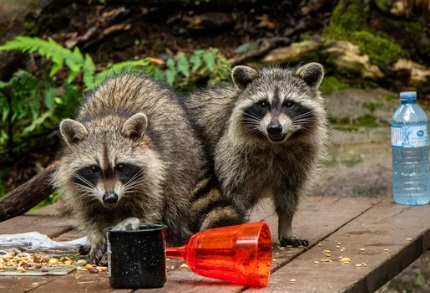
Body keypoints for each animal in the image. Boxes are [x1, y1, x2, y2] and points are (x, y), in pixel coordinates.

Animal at [183, 62, 328, 246]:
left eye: (289, 104)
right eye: (263, 104)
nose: (274, 128)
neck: (275, 144)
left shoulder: (299, 162)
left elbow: (289, 195)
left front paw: (286, 226)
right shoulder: (230, 157)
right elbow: (232, 196)